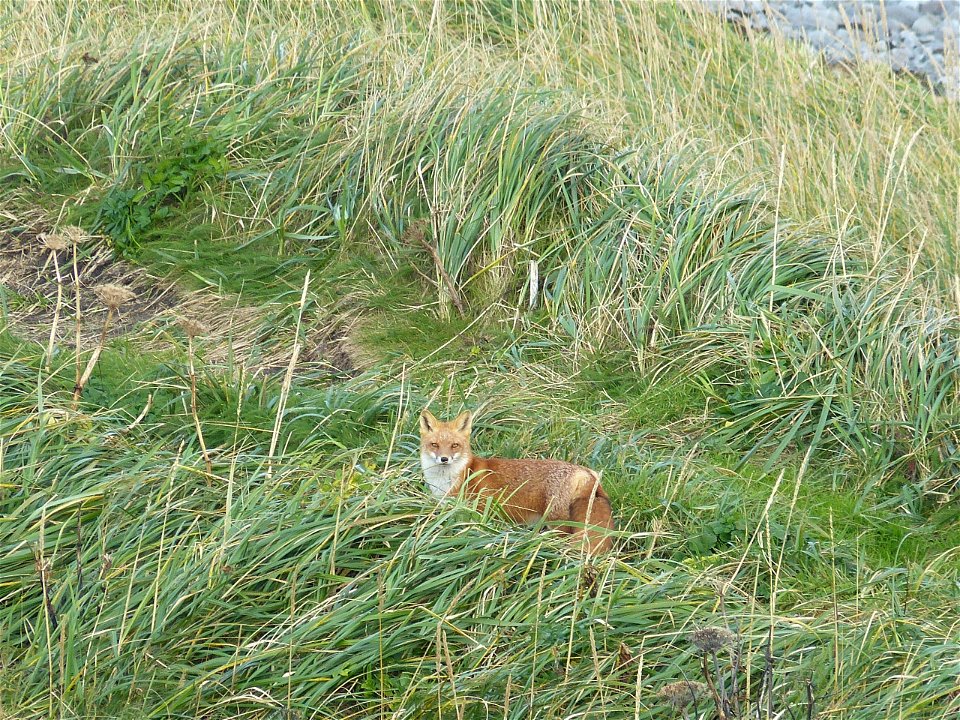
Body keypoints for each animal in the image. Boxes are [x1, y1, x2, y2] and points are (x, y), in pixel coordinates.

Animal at [420, 408, 616, 556]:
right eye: (435, 445)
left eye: (455, 445)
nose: (444, 459)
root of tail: (587, 473)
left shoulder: (476, 513)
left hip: (557, 522)